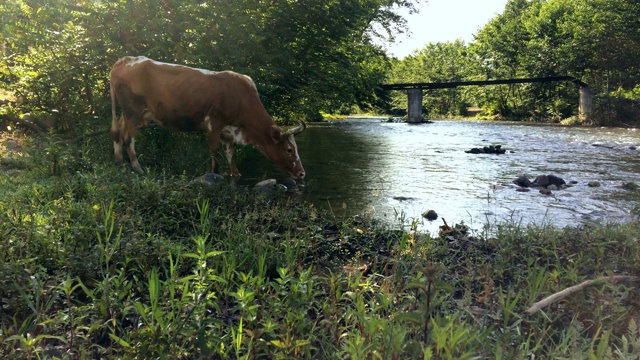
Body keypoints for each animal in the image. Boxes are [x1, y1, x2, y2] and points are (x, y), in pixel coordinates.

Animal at [109, 56, 306, 179]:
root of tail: (125, 60)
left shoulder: (227, 131)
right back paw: (138, 168)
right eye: (289, 149)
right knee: (129, 137)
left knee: (117, 131)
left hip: (133, 114)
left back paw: (119, 162)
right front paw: (215, 174)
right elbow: (214, 151)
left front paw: (236, 175)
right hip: (133, 111)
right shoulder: (214, 123)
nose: (302, 173)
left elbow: (230, 154)